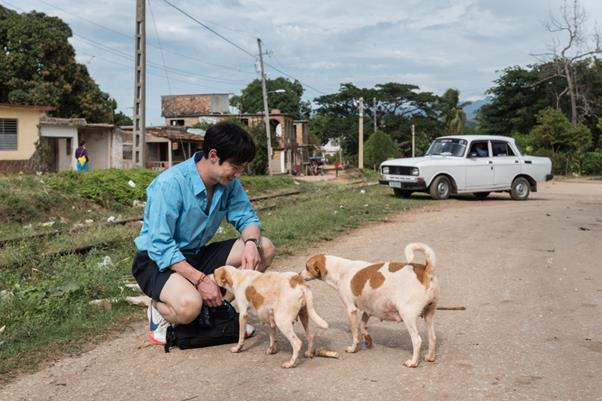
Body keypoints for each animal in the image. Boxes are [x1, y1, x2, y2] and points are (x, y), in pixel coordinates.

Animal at [298, 242, 436, 368]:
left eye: (307, 267)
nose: (299, 275)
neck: (340, 270)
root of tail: (425, 269)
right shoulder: (368, 309)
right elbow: (363, 325)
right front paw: (368, 340)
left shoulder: (351, 310)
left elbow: (355, 333)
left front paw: (353, 348)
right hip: (429, 315)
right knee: (432, 338)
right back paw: (430, 357)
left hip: (407, 316)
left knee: (417, 341)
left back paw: (413, 362)